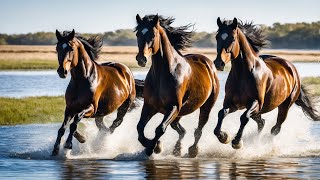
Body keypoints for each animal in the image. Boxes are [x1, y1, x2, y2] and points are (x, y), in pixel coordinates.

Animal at [135, 14, 220, 157]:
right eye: (137, 34)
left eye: (153, 34)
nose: (141, 59)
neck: (162, 73)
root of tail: (208, 63)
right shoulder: (149, 106)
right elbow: (140, 128)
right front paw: (152, 145)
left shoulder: (173, 107)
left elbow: (160, 129)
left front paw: (154, 147)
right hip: (179, 114)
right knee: (181, 131)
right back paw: (177, 149)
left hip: (206, 107)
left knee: (199, 129)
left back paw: (193, 150)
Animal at [211, 17, 318, 149]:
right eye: (217, 37)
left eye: (232, 38)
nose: (218, 63)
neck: (243, 74)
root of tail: (292, 68)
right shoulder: (232, 103)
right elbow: (221, 113)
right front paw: (223, 137)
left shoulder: (255, 103)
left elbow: (244, 117)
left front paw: (237, 141)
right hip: (259, 111)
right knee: (262, 123)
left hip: (284, 106)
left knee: (276, 128)